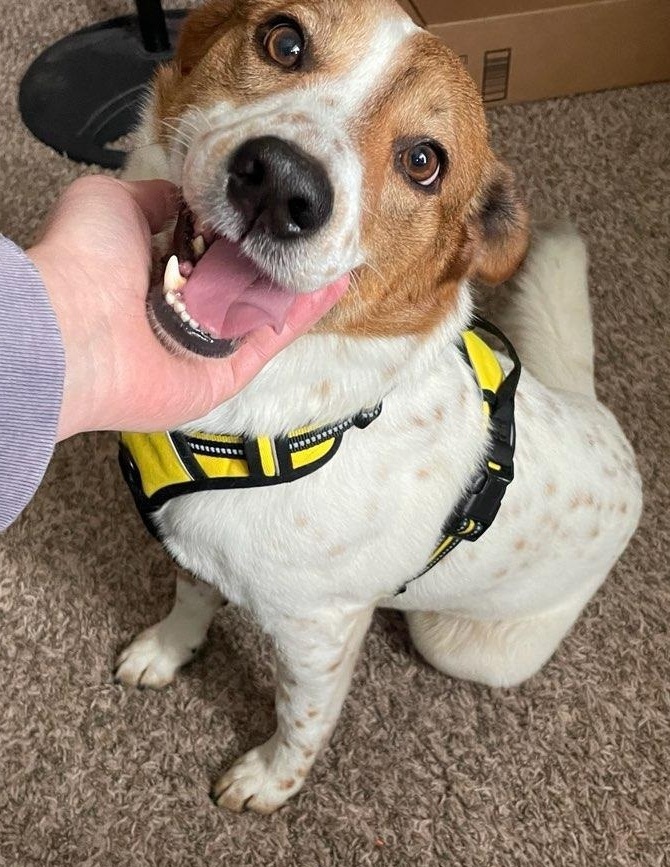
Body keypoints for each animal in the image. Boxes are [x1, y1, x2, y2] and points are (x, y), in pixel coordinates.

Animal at [117, 0, 644, 812]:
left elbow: (299, 720)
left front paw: (268, 782)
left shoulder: (320, 636)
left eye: (423, 161)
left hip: (460, 645)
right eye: (284, 40)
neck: (269, 414)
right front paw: (168, 651)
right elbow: (192, 599)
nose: (280, 186)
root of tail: (604, 420)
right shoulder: (198, 546)